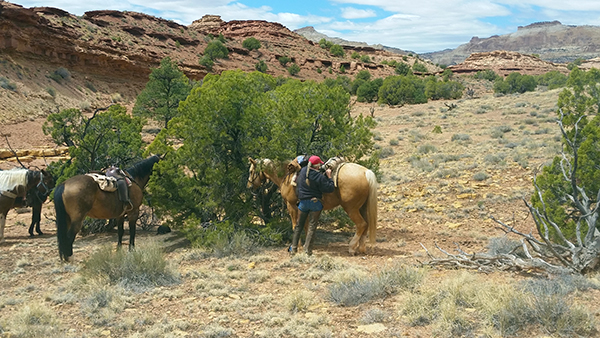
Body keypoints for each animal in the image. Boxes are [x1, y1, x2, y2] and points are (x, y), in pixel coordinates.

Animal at [247, 157, 378, 255]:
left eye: (251, 171)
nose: (249, 186)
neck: (286, 176)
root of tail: (366, 172)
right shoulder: (304, 207)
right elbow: (306, 226)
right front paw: (306, 245)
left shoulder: (292, 206)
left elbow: (295, 226)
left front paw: (297, 247)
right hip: (362, 207)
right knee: (366, 224)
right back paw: (361, 248)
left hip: (351, 208)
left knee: (361, 224)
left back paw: (351, 247)